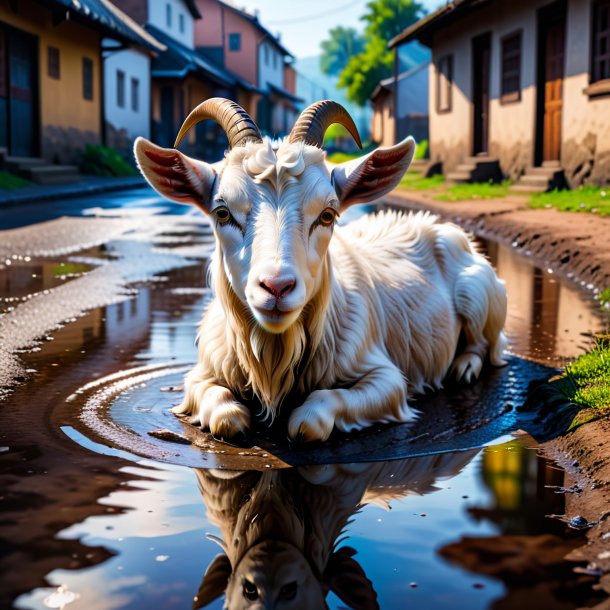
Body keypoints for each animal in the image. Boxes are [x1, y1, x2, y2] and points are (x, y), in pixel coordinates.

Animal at [134, 100, 508, 442]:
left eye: (328, 215)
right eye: (223, 212)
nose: (277, 287)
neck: (274, 357)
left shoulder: (384, 377)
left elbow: (310, 420)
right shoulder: (204, 370)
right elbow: (225, 415)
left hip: (478, 294)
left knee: (486, 344)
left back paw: (465, 368)